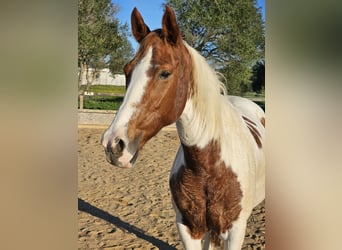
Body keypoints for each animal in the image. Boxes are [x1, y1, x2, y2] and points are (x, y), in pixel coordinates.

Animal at [100, 5, 266, 250]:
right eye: (127, 70)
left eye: (165, 73)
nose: (113, 144)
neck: (208, 167)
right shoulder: (189, 227)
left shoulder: (235, 231)